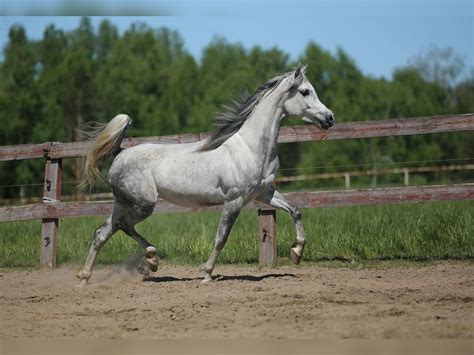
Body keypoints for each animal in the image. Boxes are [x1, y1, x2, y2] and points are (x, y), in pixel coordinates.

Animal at [77, 64, 334, 286]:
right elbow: (221, 237)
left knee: (102, 233)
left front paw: (296, 253)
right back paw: (152, 259)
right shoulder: (235, 201)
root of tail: (121, 152)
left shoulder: (264, 194)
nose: (329, 118)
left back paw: (85, 277)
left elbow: (296, 210)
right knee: (122, 225)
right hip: (143, 204)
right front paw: (207, 274)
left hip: (124, 202)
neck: (251, 148)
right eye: (305, 91)